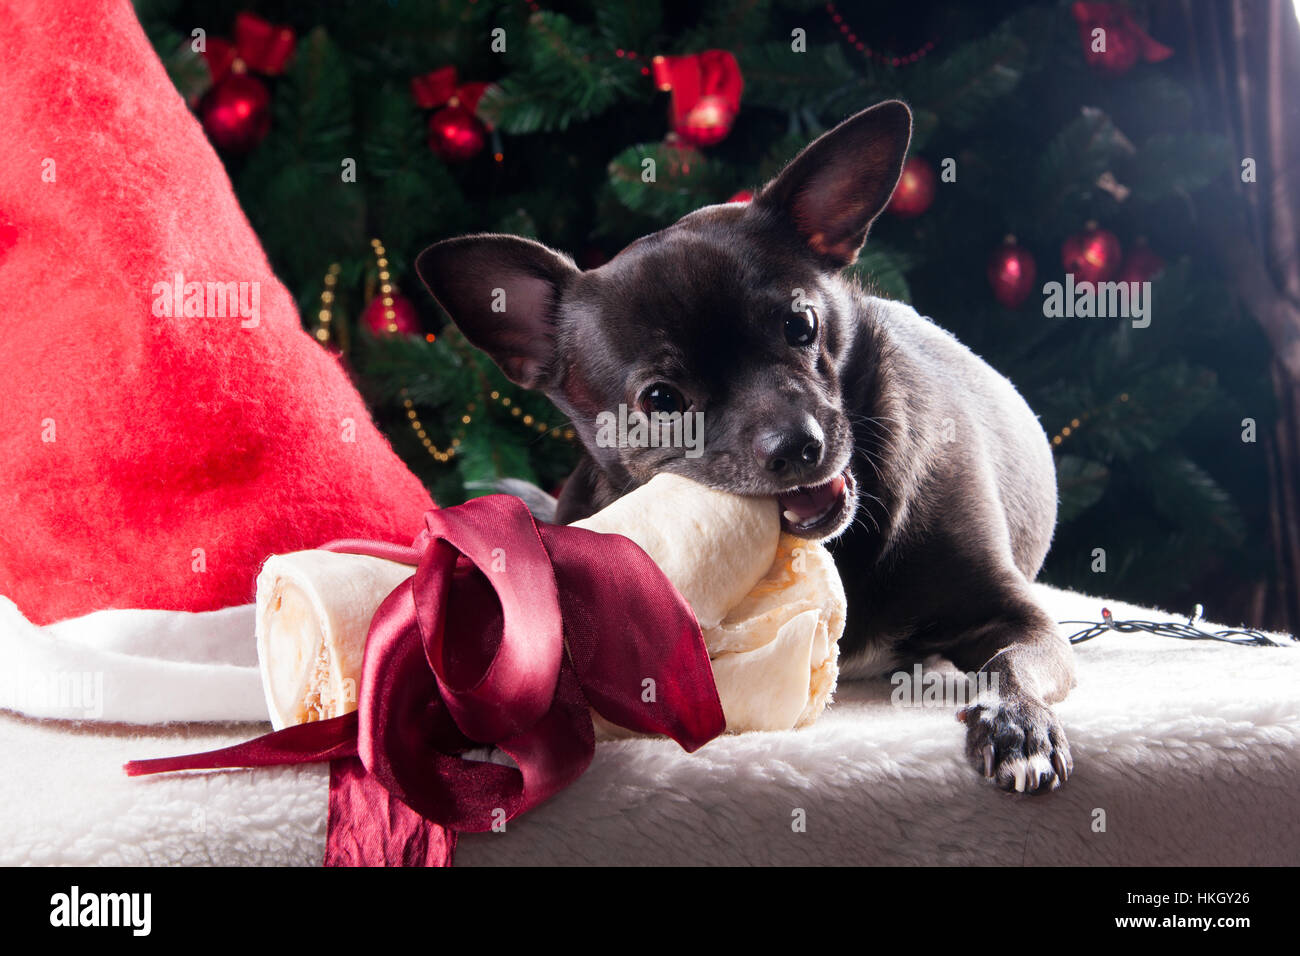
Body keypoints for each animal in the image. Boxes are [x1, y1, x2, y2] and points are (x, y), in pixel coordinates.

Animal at [416, 100, 1076, 796]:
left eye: (801, 325)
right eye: (661, 400)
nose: (798, 445)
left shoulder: (1023, 619)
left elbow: (1011, 664)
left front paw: (1017, 724)